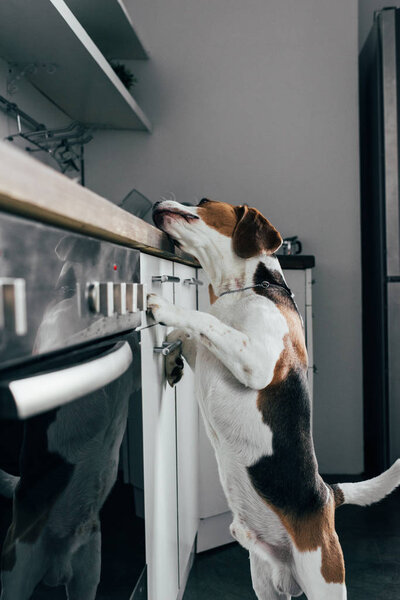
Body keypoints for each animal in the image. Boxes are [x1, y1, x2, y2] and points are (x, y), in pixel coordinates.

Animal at [149, 199, 400, 600]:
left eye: (202, 203)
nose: (157, 202)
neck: (246, 288)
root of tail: (327, 494)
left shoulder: (256, 361)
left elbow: (203, 319)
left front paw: (165, 306)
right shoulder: (214, 351)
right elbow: (191, 333)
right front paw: (173, 357)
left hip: (324, 578)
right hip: (265, 581)